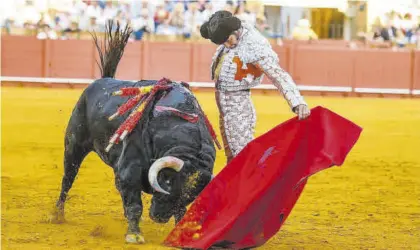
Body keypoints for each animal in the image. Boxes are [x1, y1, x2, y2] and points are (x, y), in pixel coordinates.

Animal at [50, 21, 217, 244]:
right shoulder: (130, 168)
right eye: (167, 181)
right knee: (68, 177)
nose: (159, 217)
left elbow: (180, 211)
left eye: (190, 196)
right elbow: (134, 203)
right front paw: (134, 235)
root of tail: (103, 80)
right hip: (74, 145)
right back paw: (57, 215)